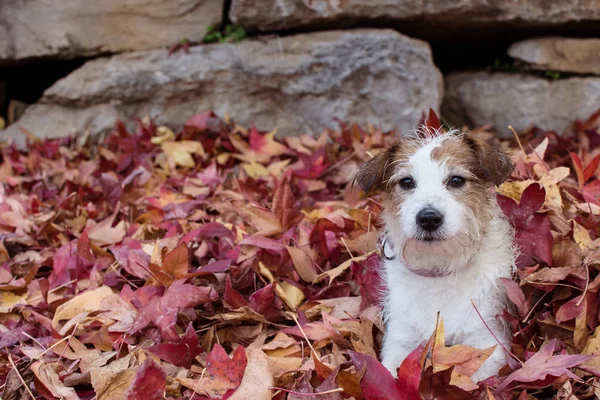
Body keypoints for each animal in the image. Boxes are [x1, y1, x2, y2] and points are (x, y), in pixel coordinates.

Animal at [356, 125, 516, 382]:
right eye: (406, 181)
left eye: (456, 180)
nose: (429, 217)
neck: (439, 268)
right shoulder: (400, 340)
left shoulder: (488, 340)